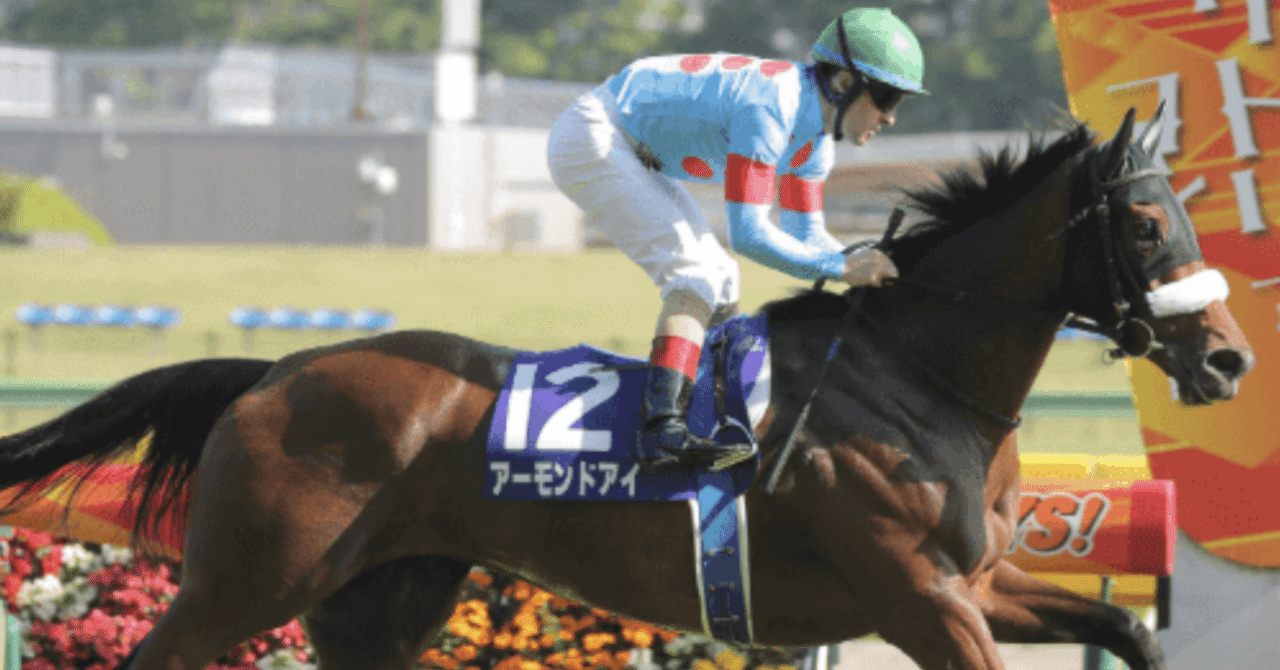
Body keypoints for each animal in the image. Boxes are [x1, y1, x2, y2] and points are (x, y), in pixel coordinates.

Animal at [0, 105, 1254, 670]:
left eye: (1185, 212)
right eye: (1145, 223)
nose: (1229, 358)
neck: (913, 379)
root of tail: (276, 371)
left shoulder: (980, 583)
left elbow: (1120, 625)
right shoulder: (919, 597)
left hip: (378, 601)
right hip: (245, 580)